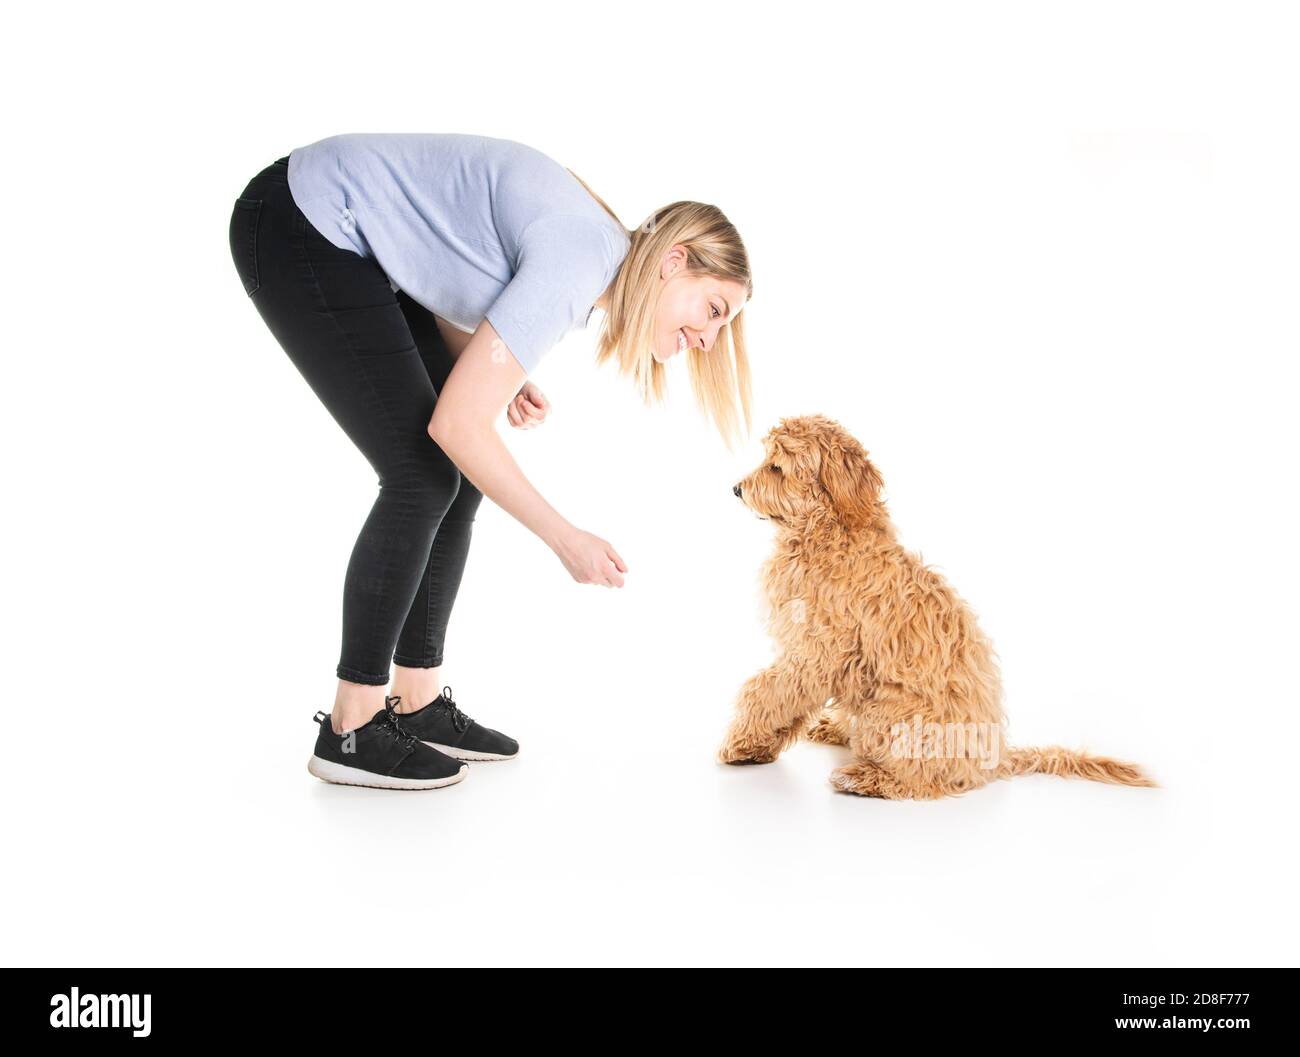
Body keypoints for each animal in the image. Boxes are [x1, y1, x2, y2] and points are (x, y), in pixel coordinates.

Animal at [717, 413, 1154, 800]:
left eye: (777, 467)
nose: (736, 489)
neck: (831, 531)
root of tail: (993, 758)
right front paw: (759, 745)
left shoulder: (814, 650)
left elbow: (765, 690)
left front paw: (740, 744)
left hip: (892, 716)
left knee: (924, 778)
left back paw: (865, 778)